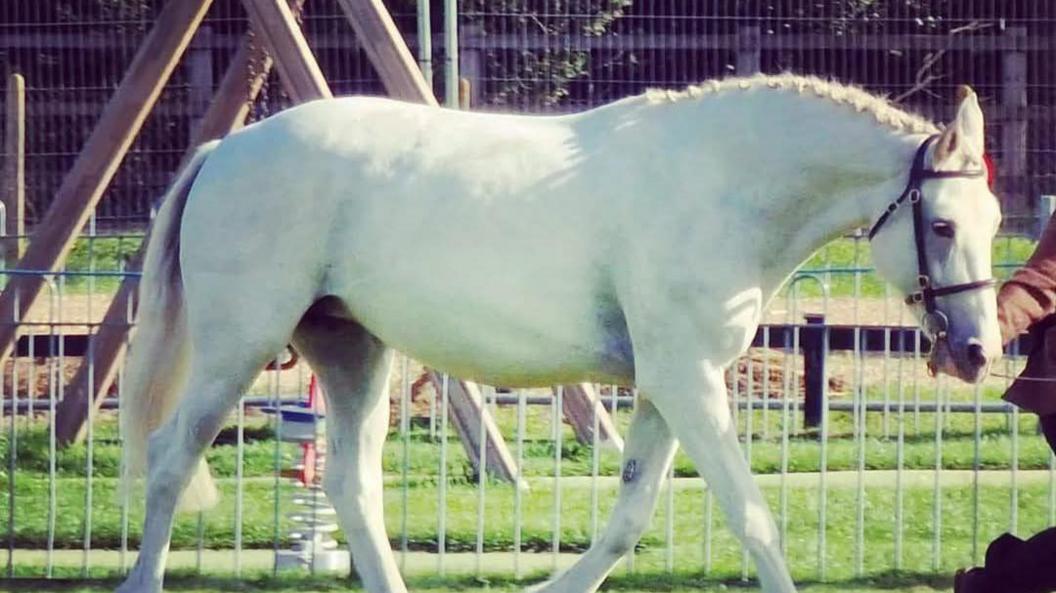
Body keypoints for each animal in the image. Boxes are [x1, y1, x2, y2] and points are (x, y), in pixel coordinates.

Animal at [113, 74, 996, 590]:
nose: (978, 351)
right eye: (943, 224)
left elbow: (631, 515)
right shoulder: (687, 379)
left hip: (351, 348)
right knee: (169, 458)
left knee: (351, 484)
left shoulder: (668, 385)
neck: (716, 182)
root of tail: (228, 148)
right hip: (239, 343)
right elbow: (753, 518)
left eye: (991, 221)